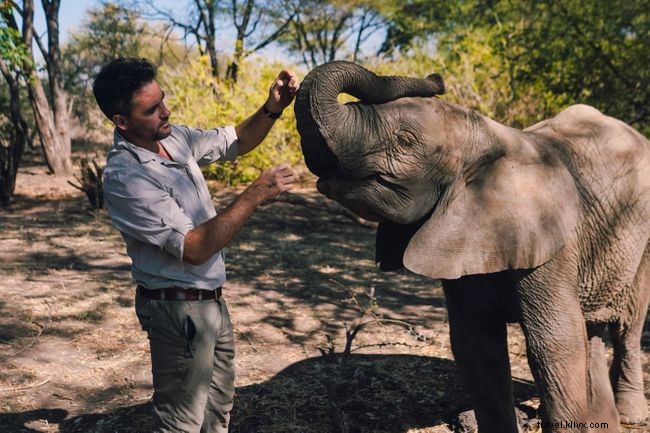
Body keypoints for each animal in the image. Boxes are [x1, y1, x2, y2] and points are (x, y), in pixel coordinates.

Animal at [293, 60, 650, 433]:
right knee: (591, 330)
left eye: (405, 140)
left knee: (627, 326)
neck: (488, 139)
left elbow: (554, 344)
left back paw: (630, 416)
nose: (436, 79)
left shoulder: (552, 244)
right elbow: (476, 348)